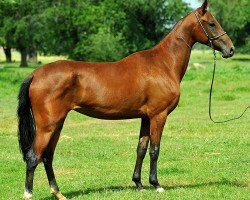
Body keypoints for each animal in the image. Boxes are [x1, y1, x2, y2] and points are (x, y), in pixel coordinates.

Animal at [17, 0, 234, 199]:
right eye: (212, 23)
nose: (231, 49)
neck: (163, 64)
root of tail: (35, 74)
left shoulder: (145, 117)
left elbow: (141, 148)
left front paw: (139, 184)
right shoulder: (159, 115)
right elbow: (155, 149)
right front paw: (156, 184)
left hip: (58, 124)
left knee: (47, 156)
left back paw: (58, 193)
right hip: (48, 125)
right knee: (33, 156)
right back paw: (29, 193)